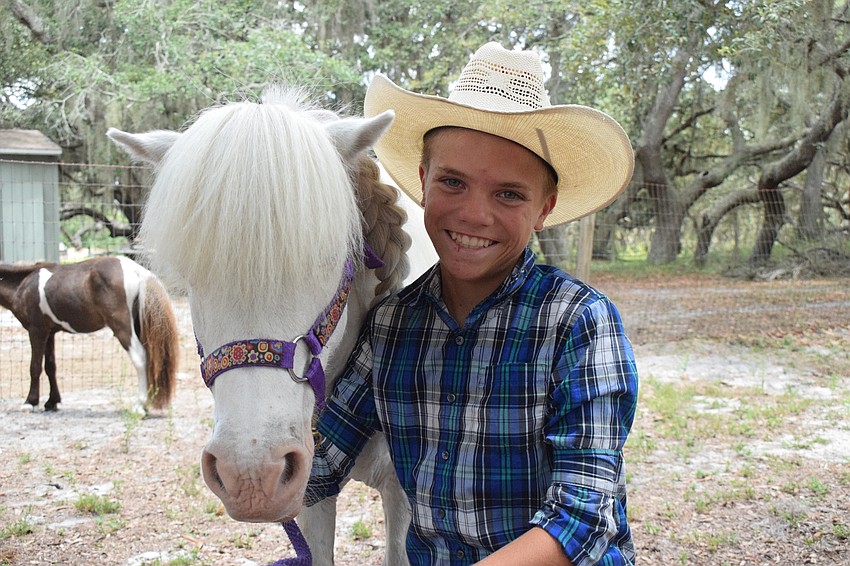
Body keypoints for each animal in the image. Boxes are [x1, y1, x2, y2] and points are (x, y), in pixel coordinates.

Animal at [0, 255, 179, 414]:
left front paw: (30, 403)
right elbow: (50, 366)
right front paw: (52, 402)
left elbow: (35, 367)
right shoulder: (50, 332)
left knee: (140, 358)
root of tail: (138, 271)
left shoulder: (37, 330)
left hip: (123, 328)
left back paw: (139, 406)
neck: (23, 283)